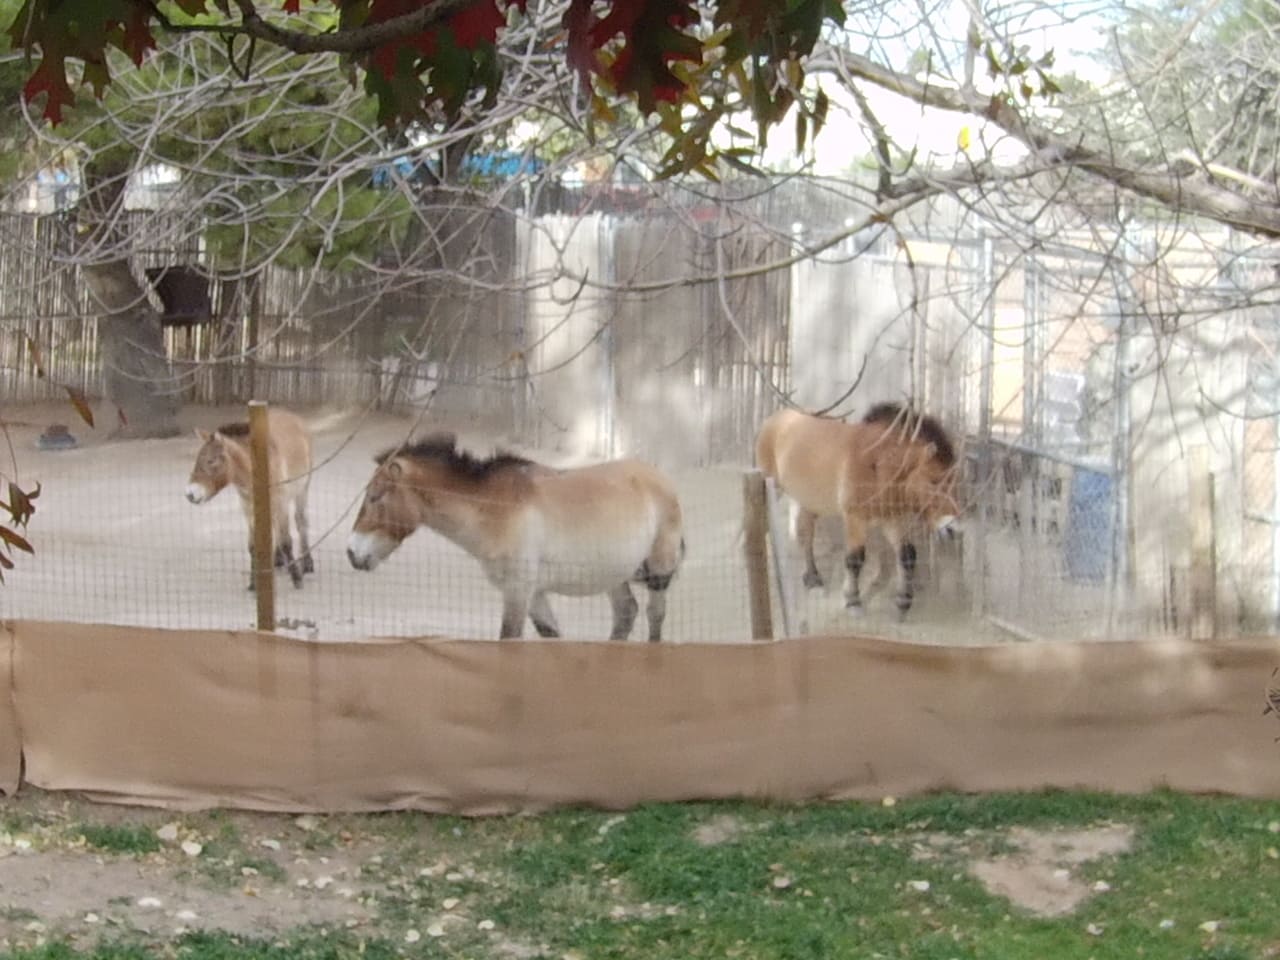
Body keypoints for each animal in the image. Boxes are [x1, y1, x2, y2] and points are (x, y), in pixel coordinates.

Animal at [185, 408, 315, 589]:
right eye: (197, 460)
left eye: (211, 461)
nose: (190, 494)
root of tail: (290, 415)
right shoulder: (249, 509)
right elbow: (253, 547)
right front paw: (254, 583)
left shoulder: (281, 504)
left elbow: (286, 541)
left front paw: (297, 578)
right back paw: (278, 560)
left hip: (302, 490)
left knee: (301, 522)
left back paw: (307, 563)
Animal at [346, 433, 686, 641]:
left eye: (375, 496)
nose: (352, 553)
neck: (494, 507)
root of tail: (660, 478)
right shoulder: (533, 594)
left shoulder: (518, 591)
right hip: (615, 575)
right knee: (625, 614)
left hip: (658, 571)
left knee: (655, 615)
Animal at [755, 402, 961, 619]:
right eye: (934, 480)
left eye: (954, 481)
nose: (953, 529)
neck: (876, 463)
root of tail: (776, 418)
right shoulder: (855, 519)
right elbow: (855, 559)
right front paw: (853, 601)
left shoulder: (892, 520)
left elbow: (907, 554)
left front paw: (903, 601)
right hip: (773, 488)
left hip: (807, 501)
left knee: (806, 536)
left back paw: (813, 579)